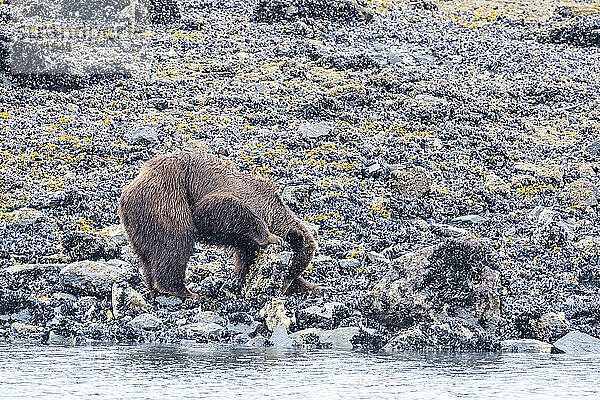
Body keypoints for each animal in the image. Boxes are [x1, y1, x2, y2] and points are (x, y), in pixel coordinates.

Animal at [119, 152, 322, 298]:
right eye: (289, 271)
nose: (284, 288)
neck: (273, 210)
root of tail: (128, 192)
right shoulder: (239, 198)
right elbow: (218, 208)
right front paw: (271, 237)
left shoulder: (246, 243)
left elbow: (246, 261)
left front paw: (312, 286)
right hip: (166, 200)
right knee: (176, 243)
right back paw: (183, 291)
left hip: (139, 225)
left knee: (148, 256)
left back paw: (154, 288)